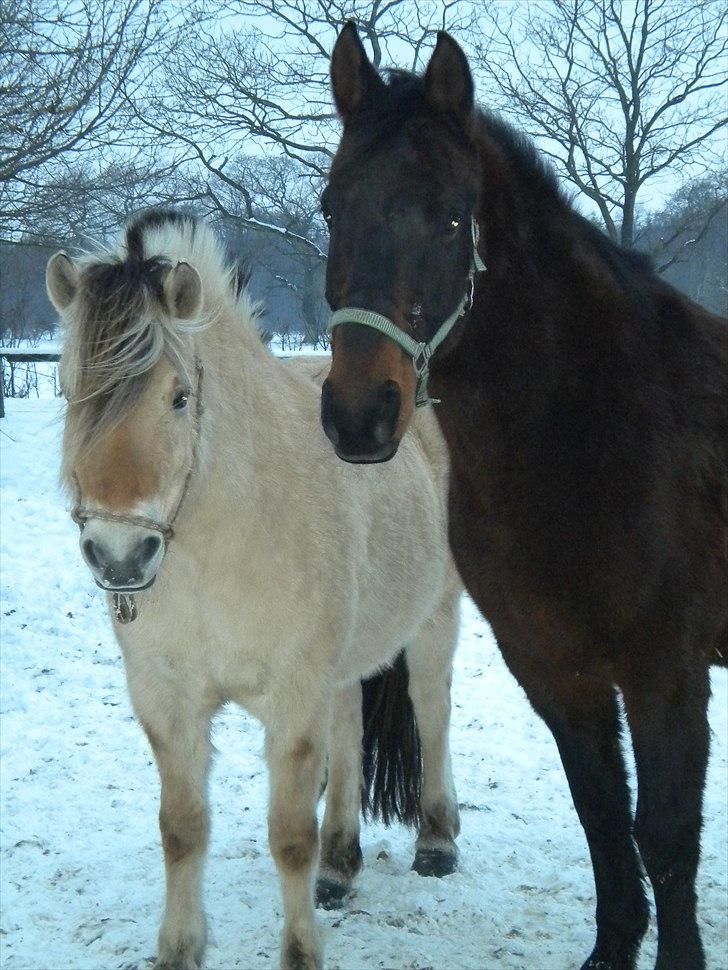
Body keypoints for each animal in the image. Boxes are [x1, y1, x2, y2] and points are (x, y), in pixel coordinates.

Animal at [320, 22, 728, 968]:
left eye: (451, 216)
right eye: (328, 207)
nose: (359, 414)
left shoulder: (667, 673)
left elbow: (666, 837)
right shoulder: (556, 670)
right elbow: (605, 822)